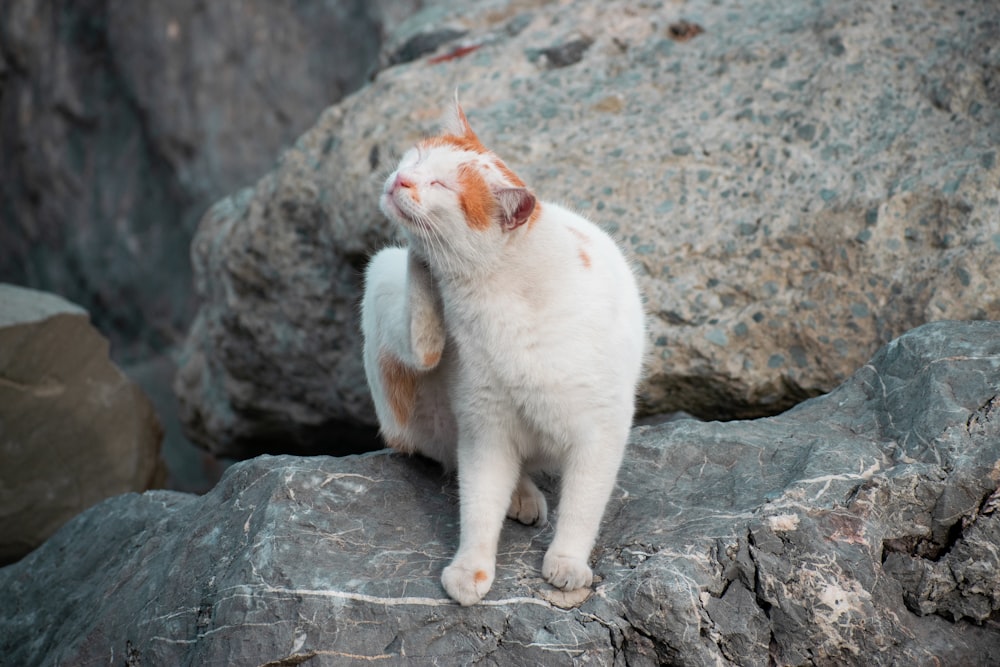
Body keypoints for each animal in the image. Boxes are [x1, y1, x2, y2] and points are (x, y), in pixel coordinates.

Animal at [364, 98, 644, 604]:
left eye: (441, 184)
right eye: (416, 158)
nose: (401, 180)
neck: (493, 295)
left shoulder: (600, 431)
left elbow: (583, 505)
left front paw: (567, 563)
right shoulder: (486, 428)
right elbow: (478, 502)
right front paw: (470, 569)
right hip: (384, 279)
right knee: (425, 361)